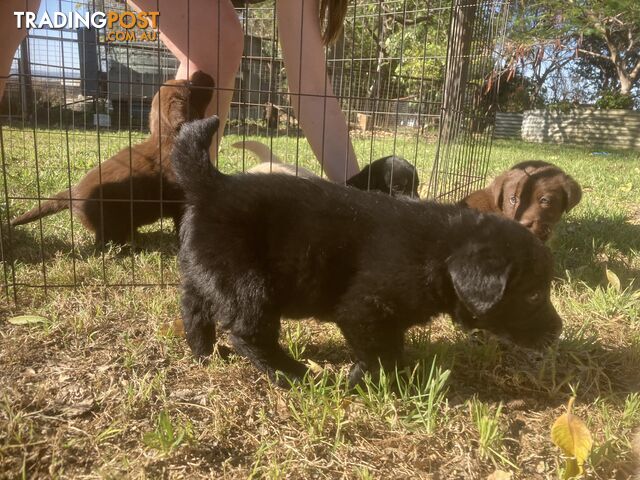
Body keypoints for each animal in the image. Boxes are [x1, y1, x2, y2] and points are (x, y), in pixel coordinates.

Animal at [10, 73, 215, 246]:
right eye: (190, 84)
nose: (205, 73)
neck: (169, 138)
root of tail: (72, 192)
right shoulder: (181, 200)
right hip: (109, 221)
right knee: (105, 240)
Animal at [172, 118, 564, 388]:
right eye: (533, 296)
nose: (558, 332)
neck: (438, 253)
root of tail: (214, 184)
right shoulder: (364, 310)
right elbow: (382, 356)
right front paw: (367, 383)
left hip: (206, 273)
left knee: (194, 309)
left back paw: (205, 353)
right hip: (248, 283)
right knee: (247, 333)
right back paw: (294, 374)